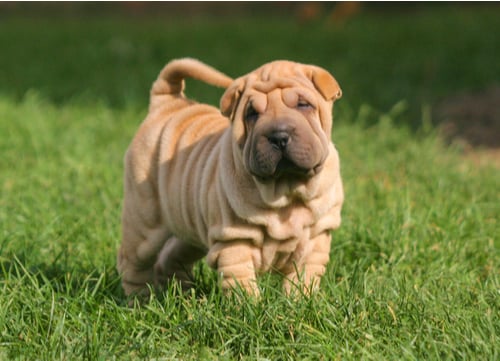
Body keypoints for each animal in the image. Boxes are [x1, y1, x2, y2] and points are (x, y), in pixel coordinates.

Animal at [117, 57, 344, 296]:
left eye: (303, 105)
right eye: (252, 113)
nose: (279, 136)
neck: (285, 189)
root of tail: (165, 104)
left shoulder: (315, 240)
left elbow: (302, 280)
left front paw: (299, 301)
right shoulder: (234, 242)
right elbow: (242, 285)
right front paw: (251, 305)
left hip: (189, 226)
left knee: (171, 256)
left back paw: (183, 294)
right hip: (144, 223)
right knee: (133, 262)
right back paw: (141, 298)